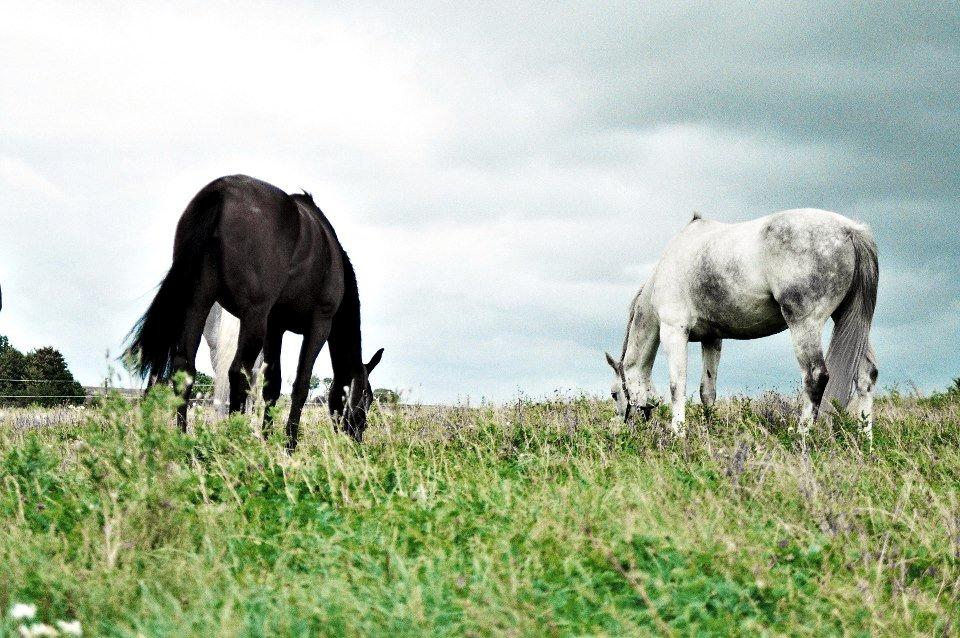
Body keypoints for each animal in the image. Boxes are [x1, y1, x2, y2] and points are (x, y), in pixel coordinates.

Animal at [125, 175, 384, 450]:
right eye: (366, 397)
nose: (358, 437)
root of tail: (221, 191)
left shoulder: (275, 327)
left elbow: (272, 385)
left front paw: (268, 439)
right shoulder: (319, 325)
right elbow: (300, 385)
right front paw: (289, 445)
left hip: (197, 304)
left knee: (185, 368)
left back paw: (182, 441)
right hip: (253, 318)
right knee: (238, 372)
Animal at [608, 210, 876, 440]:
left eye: (614, 394)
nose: (625, 427)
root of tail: (851, 230)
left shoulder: (675, 331)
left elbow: (677, 386)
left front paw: (678, 434)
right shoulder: (712, 339)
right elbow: (708, 391)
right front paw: (709, 430)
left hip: (804, 325)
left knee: (816, 377)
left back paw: (802, 436)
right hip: (851, 323)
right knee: (866, 376)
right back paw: (866, 440)